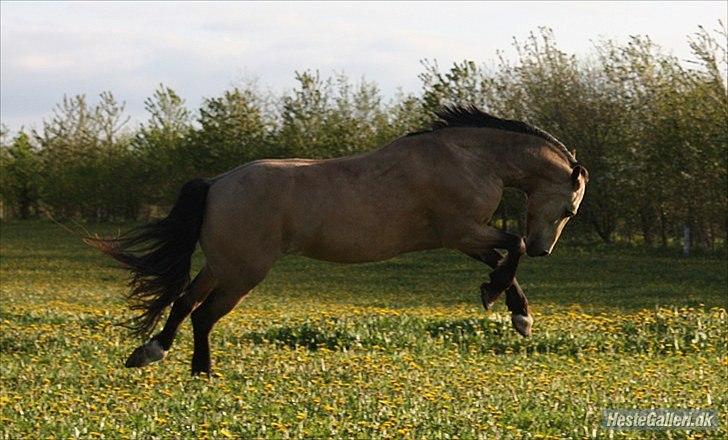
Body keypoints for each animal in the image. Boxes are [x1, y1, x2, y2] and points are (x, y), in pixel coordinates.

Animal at [89, 105, 584, 372]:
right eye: (569, 209)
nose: (546, 249)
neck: (467, 159)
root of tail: (217, 183)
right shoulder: (462, 230)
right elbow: (512, 248)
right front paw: (505, 305)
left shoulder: (463, 238)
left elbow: (504, 260)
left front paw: (516, 313)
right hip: (243, 272)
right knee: (204, 313)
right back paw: (201, 371)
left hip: (221, 265)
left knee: (185, 302)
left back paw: (154, 354)